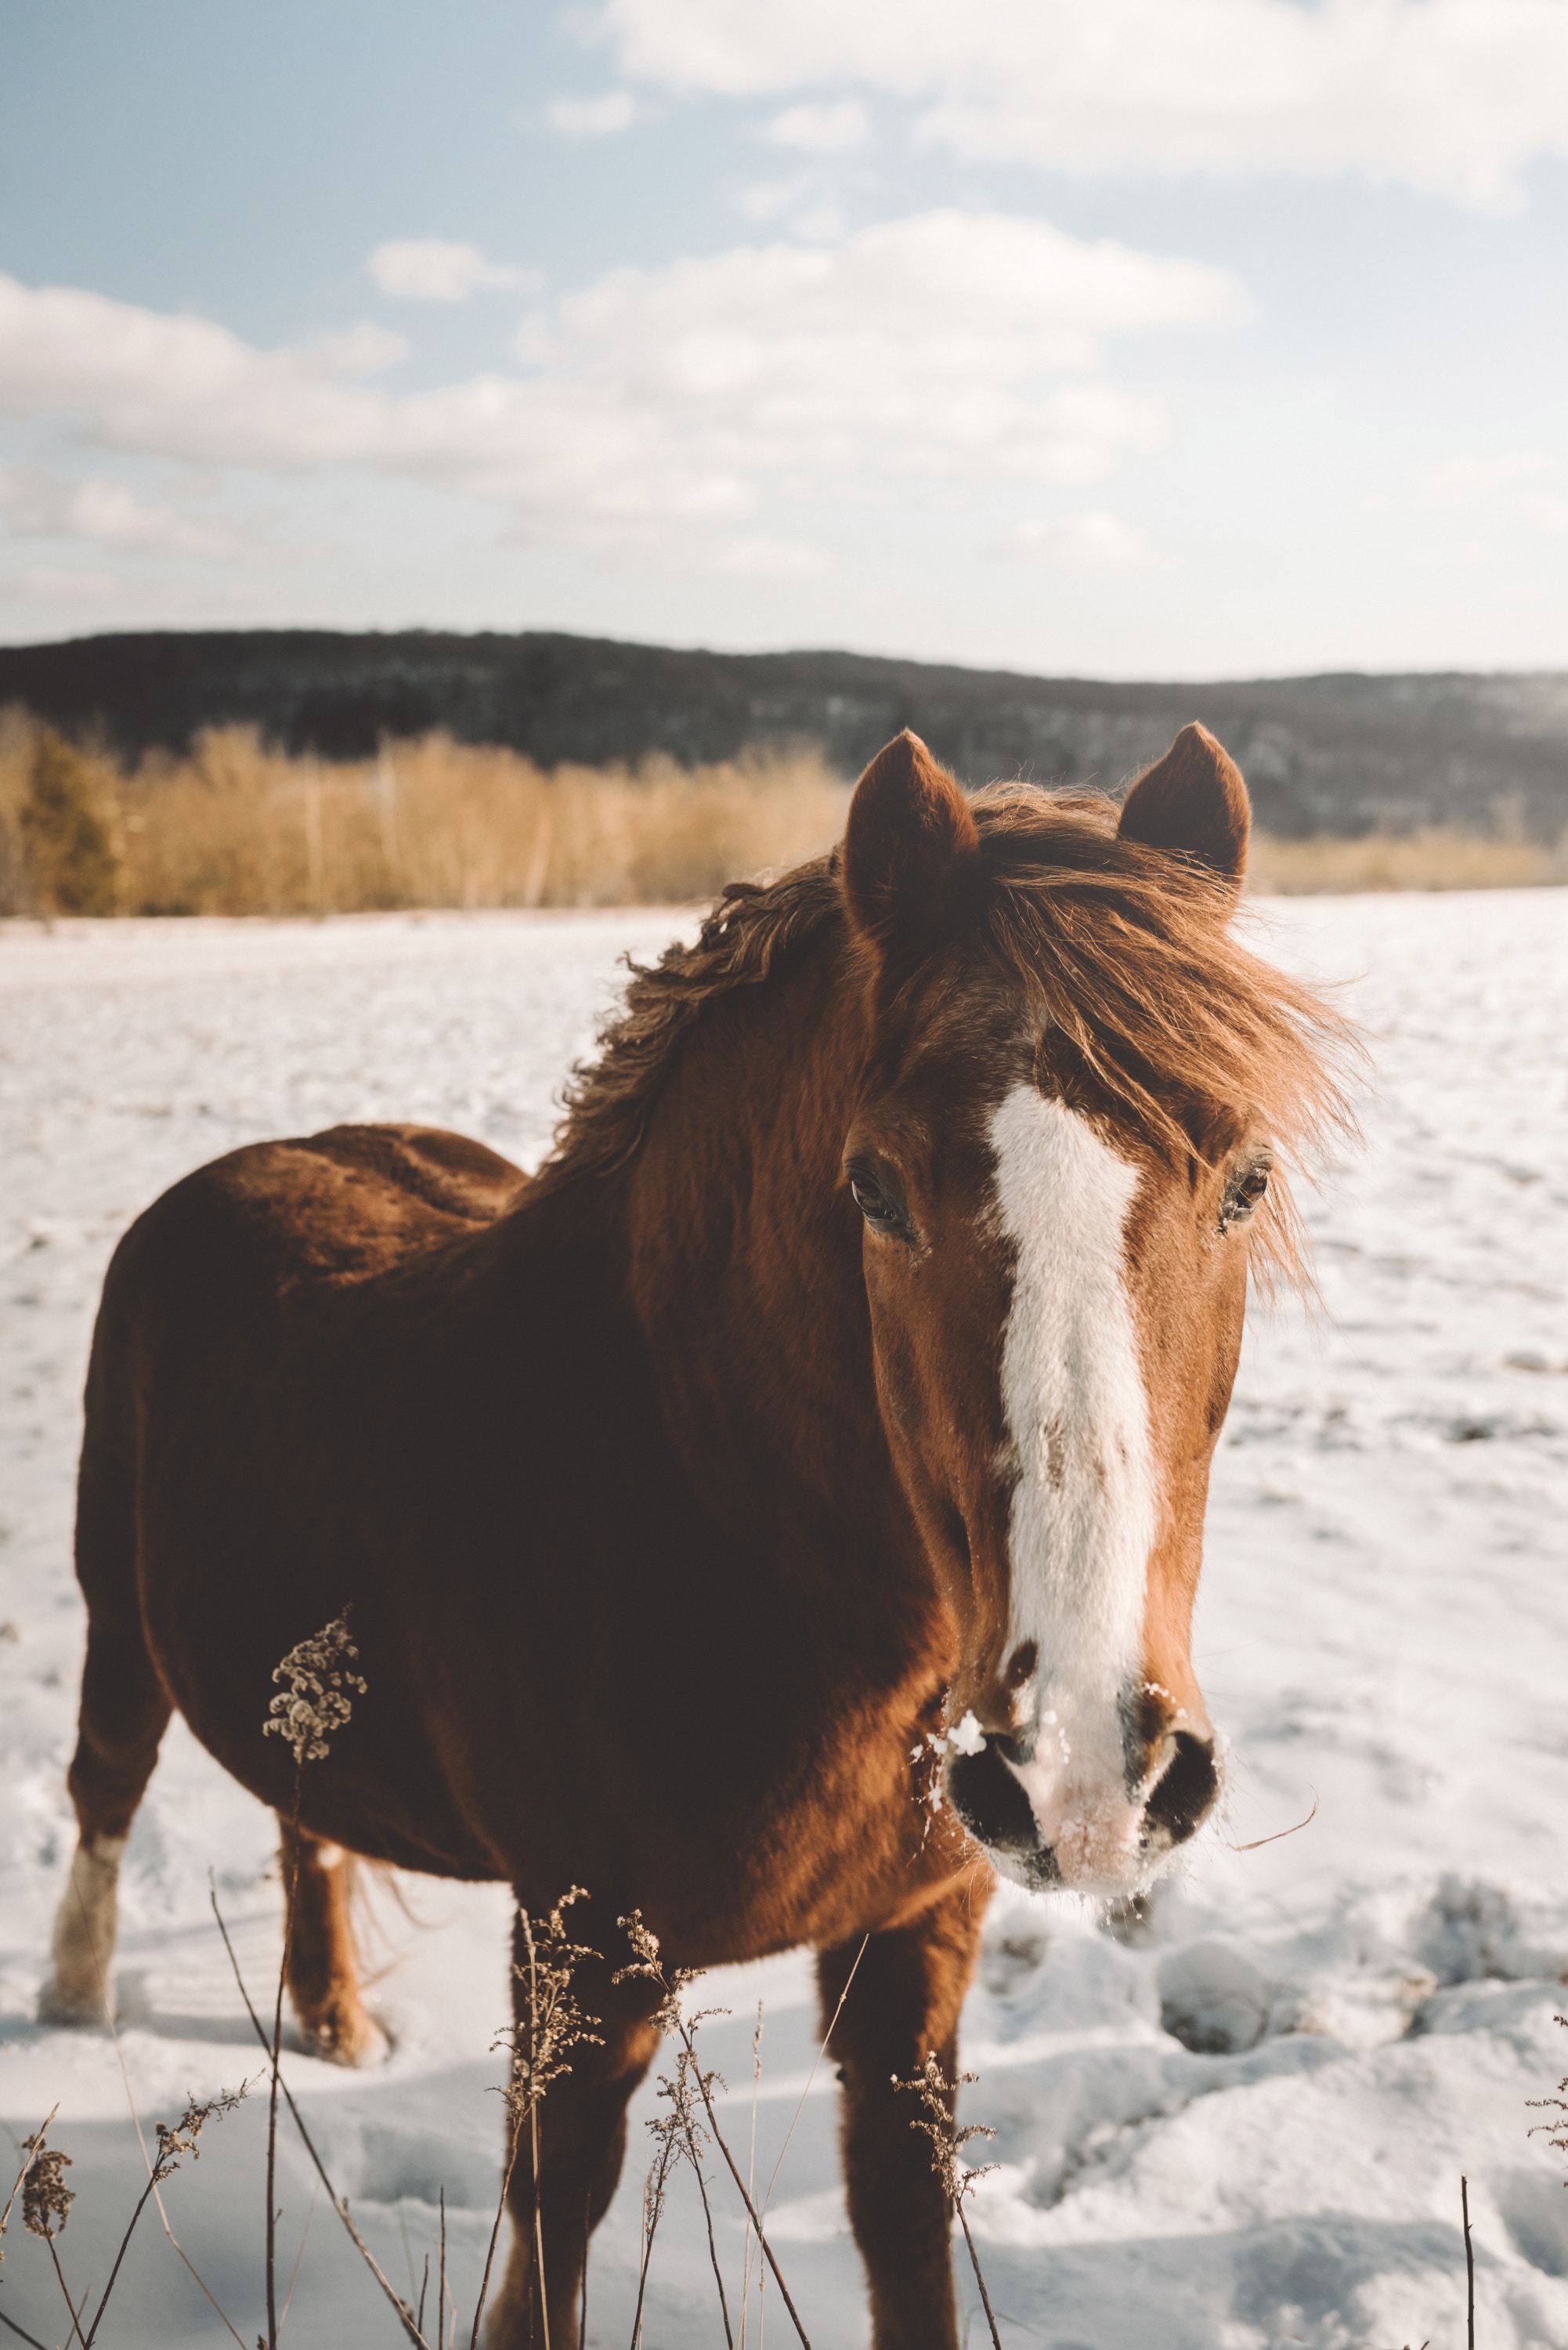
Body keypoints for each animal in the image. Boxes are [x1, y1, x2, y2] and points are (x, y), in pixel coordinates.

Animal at [45, 724, 1353, 2341]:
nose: (1086, 1770)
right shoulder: (583, 1960)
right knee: (105, 1788)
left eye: (1244, 1181)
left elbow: (903, 2230)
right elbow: (550, 2251)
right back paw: (75, 2008)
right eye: (875, 1191)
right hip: (118, 1619)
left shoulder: (915, 1936)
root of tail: (262, 1158)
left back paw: (336, 2017)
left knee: (306, 1826)